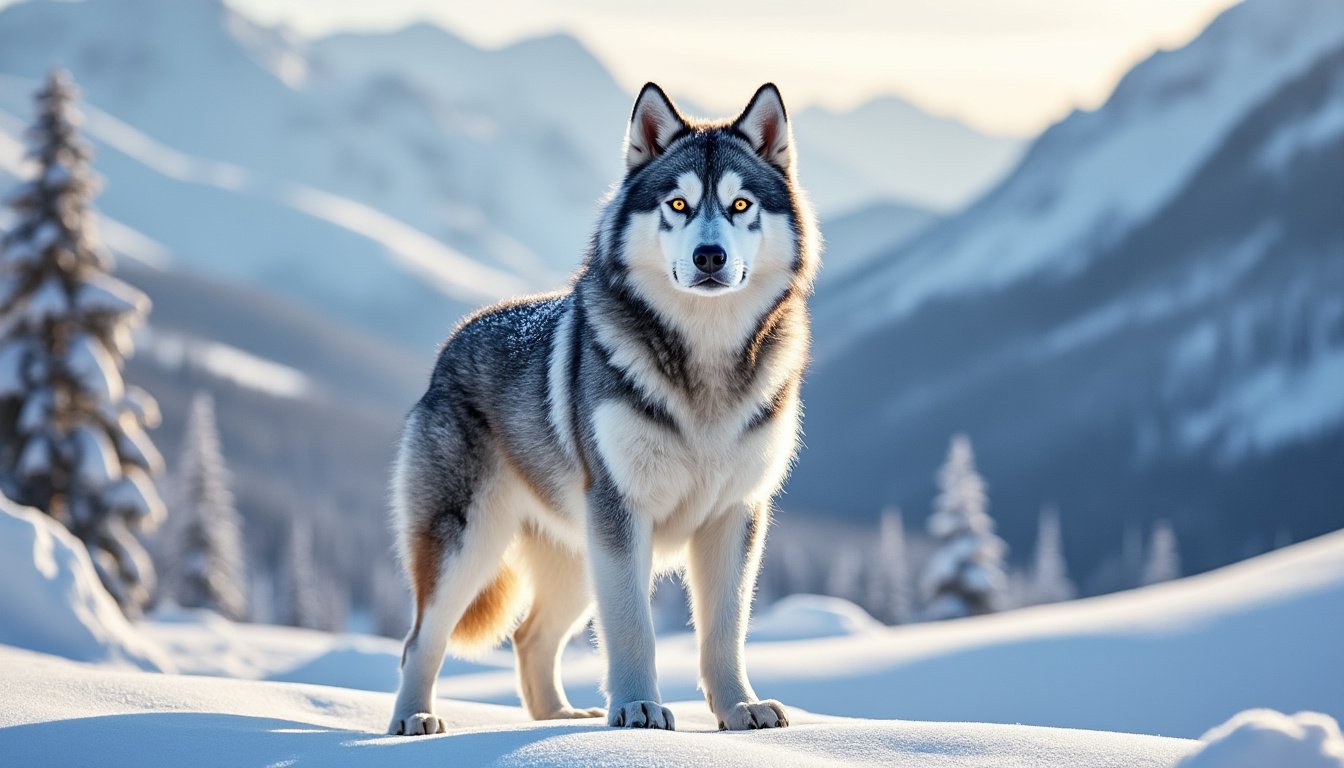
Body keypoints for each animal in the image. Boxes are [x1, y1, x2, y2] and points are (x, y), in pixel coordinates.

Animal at [389, 81, 817, 737]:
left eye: (741, 204)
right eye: (677, 204)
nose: (710, 257)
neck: (705, 361)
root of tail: (454, 341)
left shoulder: (735, 516)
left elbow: (724, 630)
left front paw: (740, 708)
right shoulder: (621, 512)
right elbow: (632, 627)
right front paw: (637, 709)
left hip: (575, 558)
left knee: (530, 639)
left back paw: (557, 718)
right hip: (471, 545)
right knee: (420, 641)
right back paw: (413, 719)